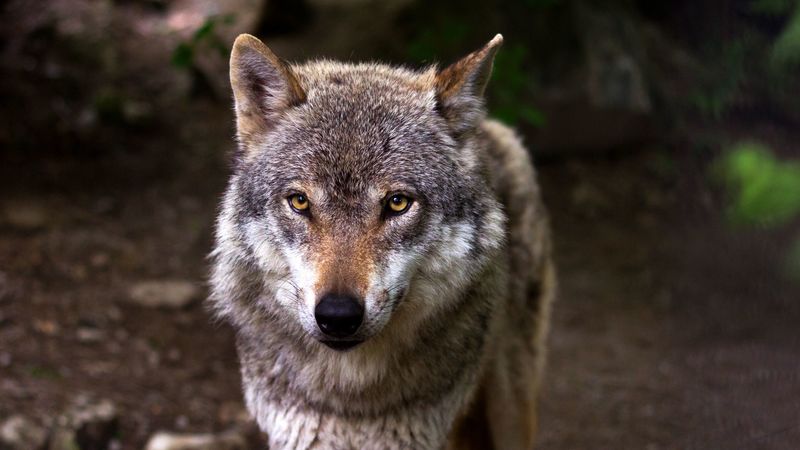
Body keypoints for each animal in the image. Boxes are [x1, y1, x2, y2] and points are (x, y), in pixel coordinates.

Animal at [209, 32, 556, 450]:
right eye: (299, 201)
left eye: (397, 203)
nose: (337, 316)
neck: (353, 403)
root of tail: (487, 127)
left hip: (511, 405)